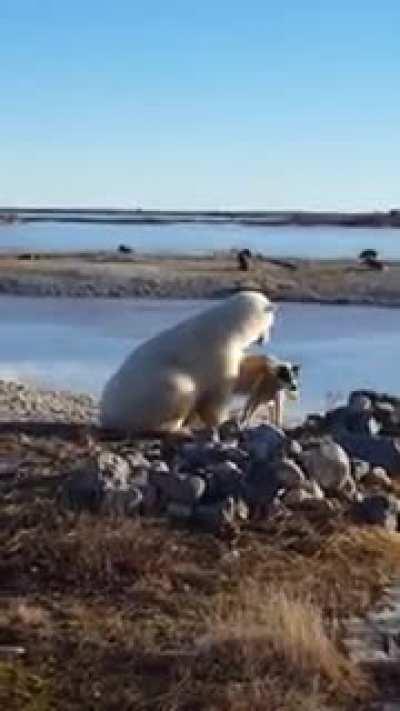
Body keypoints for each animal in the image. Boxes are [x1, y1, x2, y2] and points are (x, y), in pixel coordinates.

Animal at [100, 291, 275, 435]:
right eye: (271, 324)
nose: (265, 340)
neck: (228, 327)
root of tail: (107, 416)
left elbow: (241, 371)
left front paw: (266, 364)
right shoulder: (219, 353)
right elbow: (217, 394)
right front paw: (226, 421)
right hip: (146, 395)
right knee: (180, 387)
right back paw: (177, 428)